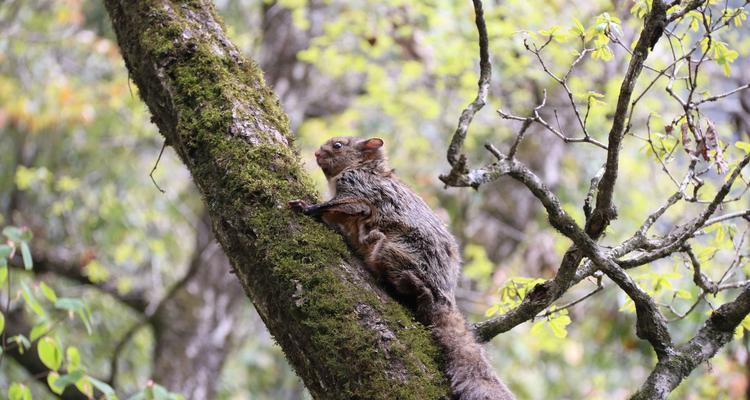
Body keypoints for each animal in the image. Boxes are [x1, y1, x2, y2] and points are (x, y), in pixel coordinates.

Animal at [290, 136, 516, 398]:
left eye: (338, 145)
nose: (317, 153)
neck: (363, 168)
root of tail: (445, 296)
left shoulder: (358, 190)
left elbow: (346, 206)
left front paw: (307, 207)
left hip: (392, 251)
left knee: (417, 289)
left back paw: (413, 286)